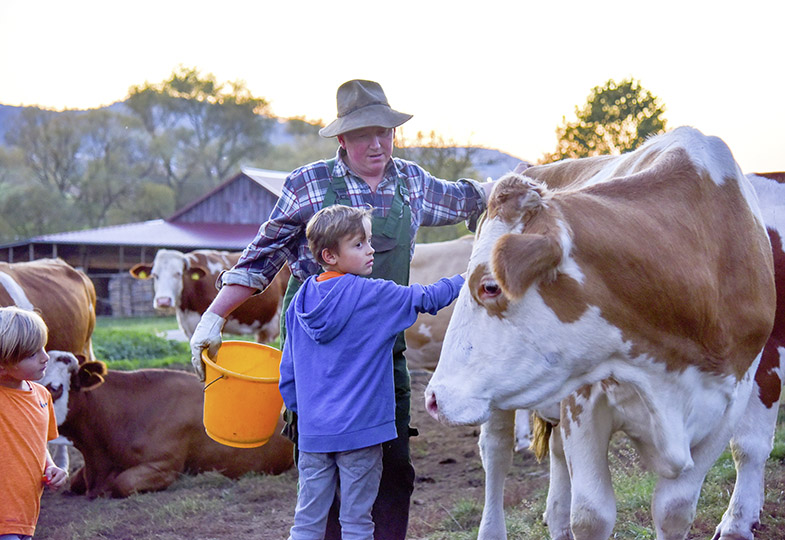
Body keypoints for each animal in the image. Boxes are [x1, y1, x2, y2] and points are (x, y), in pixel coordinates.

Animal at [420, 127, 776, 540]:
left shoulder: (728, 406)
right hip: (498, 402)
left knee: (556, 459)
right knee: (496, 454)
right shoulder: (584, 403)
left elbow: (674, 510)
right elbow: (592, 515)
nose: (432, 397)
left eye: (490, 286)